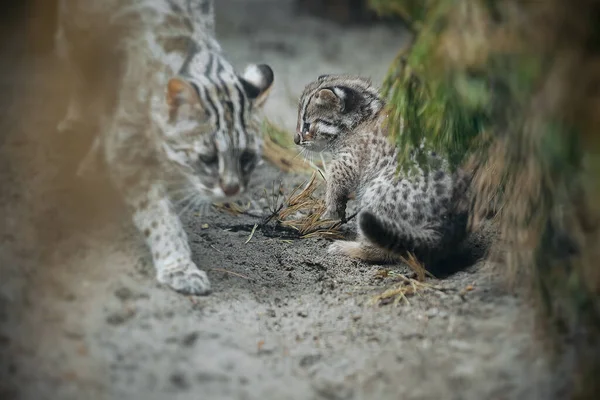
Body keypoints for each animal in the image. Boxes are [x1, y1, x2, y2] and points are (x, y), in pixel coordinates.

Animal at [55, 0, 272, 294]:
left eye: (247, 157)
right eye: (208, 158)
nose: (231, 189)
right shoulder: (127, 146)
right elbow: (159, 214)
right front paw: (179, 267)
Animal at [296, 75, 468, 266]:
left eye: (306, 125)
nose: (296, 140)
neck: (364, 117)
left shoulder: (348, 163)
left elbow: (334, 184)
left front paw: (328, 215)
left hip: (377, 194)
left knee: (382, 251)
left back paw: (348, 248)